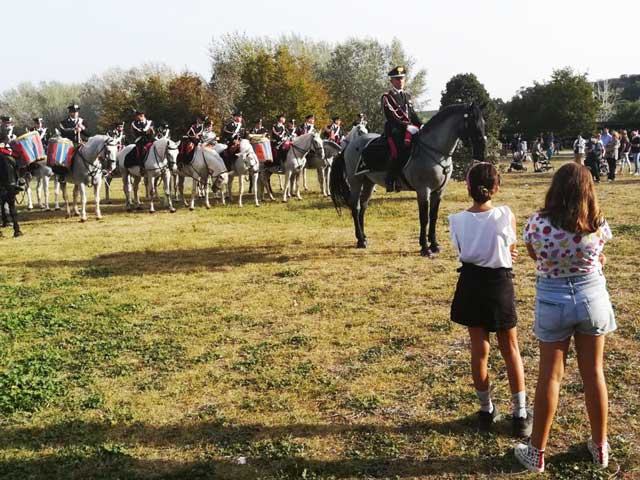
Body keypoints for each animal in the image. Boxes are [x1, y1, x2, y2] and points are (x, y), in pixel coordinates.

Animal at [332, 103, 488, 256]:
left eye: (483, 122)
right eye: (472, 122)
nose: (482, 152)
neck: (435, 152)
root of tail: (350, 145)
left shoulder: (438, 191)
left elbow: (434, 216)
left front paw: (434, 245)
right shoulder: (423, 190)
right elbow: (424, 218)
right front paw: (425, 248)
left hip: (369, 182)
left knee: (363, 206)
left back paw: (364, 237)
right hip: (355, 182)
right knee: (355, 207)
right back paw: (360, 240)